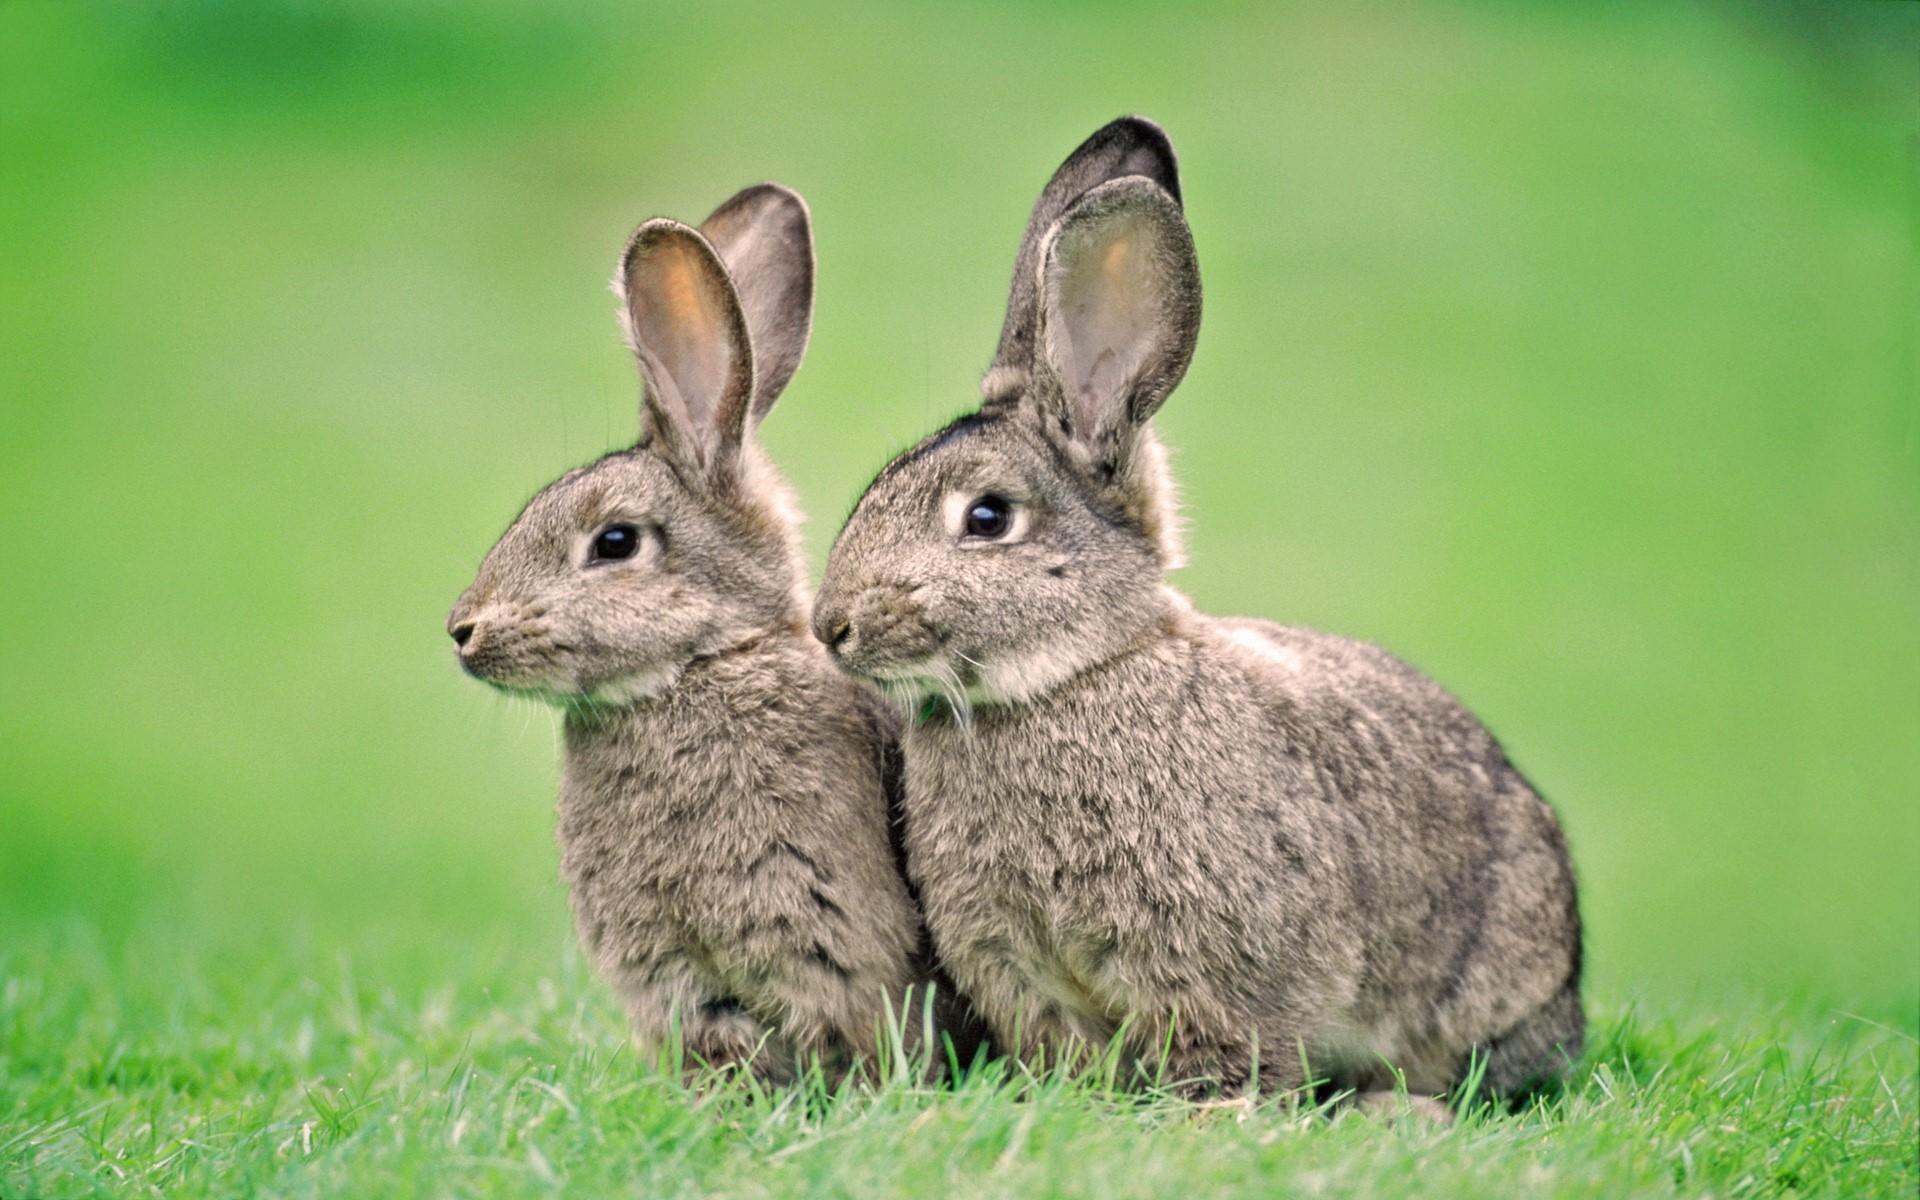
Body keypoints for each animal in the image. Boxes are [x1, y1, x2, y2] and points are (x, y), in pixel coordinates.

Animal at [806, 121, 1574, 1105]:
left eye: (987, 519)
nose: (832, 626)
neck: (1071, 678)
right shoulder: (1018, 969)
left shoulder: (1214, 962)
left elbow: (1227, 1048)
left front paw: (1212, 1113)